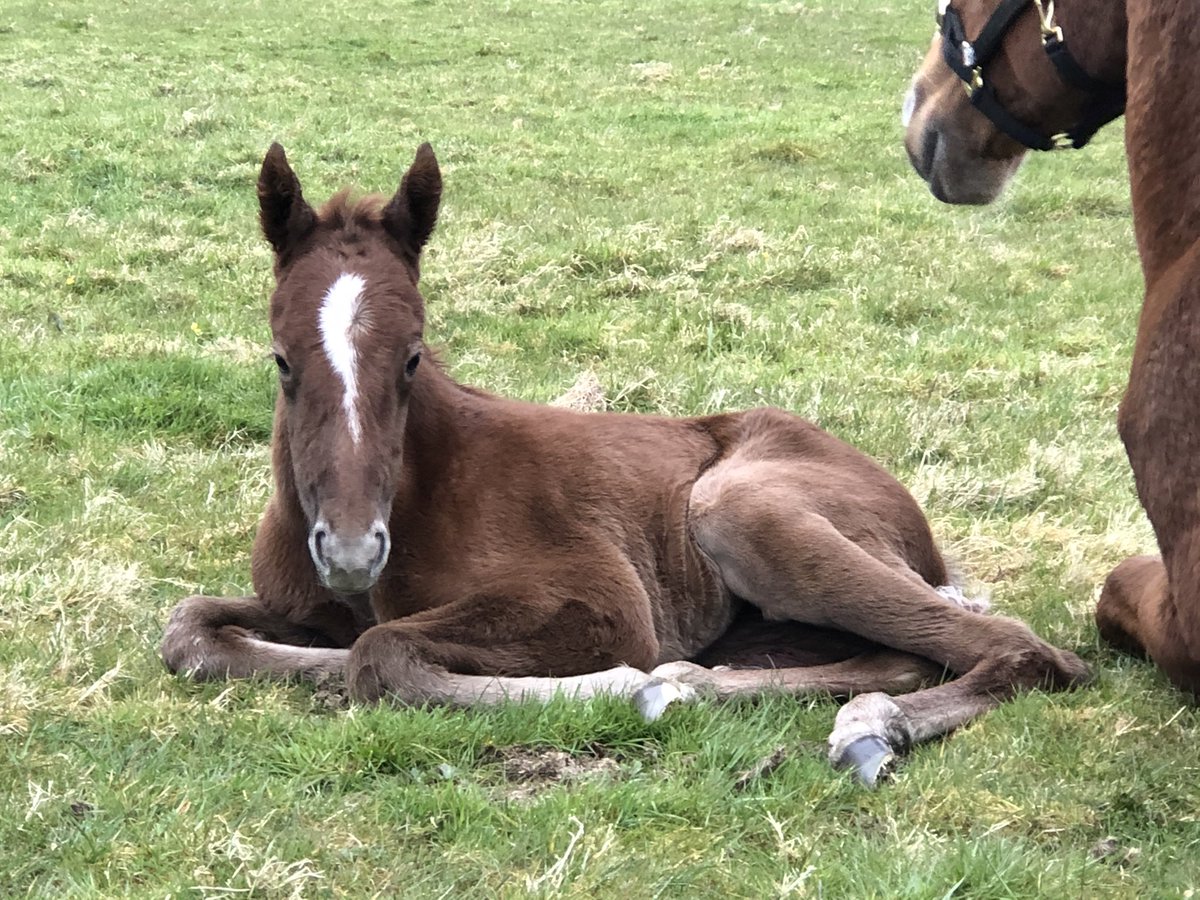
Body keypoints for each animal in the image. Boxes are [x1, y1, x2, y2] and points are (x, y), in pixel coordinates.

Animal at [161, 143, 1089, 785]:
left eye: (414, 357)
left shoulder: (603, 603)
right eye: (282, 360)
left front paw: (618, 684)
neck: (423, 487)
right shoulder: (293, 604)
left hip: (740, 509)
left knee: (1020, 648)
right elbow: (194, 633)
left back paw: (850, 725)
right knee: (899, 651)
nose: (353, 553)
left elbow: (381, 654)